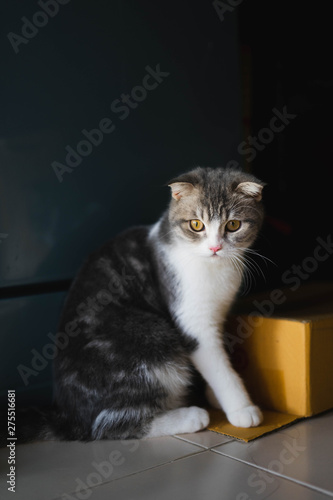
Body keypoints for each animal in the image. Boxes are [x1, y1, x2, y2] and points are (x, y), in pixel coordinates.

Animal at [13, 166, 264, 444]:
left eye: (233, 225)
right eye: (196, 225)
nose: (215, 247)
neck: (213, 268)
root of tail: (66, 416)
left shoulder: (216, 314)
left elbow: (217, 358)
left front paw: (214, 396)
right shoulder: (190, 317)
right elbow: (218, 366)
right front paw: (242, 409)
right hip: (151, 340)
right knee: (109, 425)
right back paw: (191, 416)